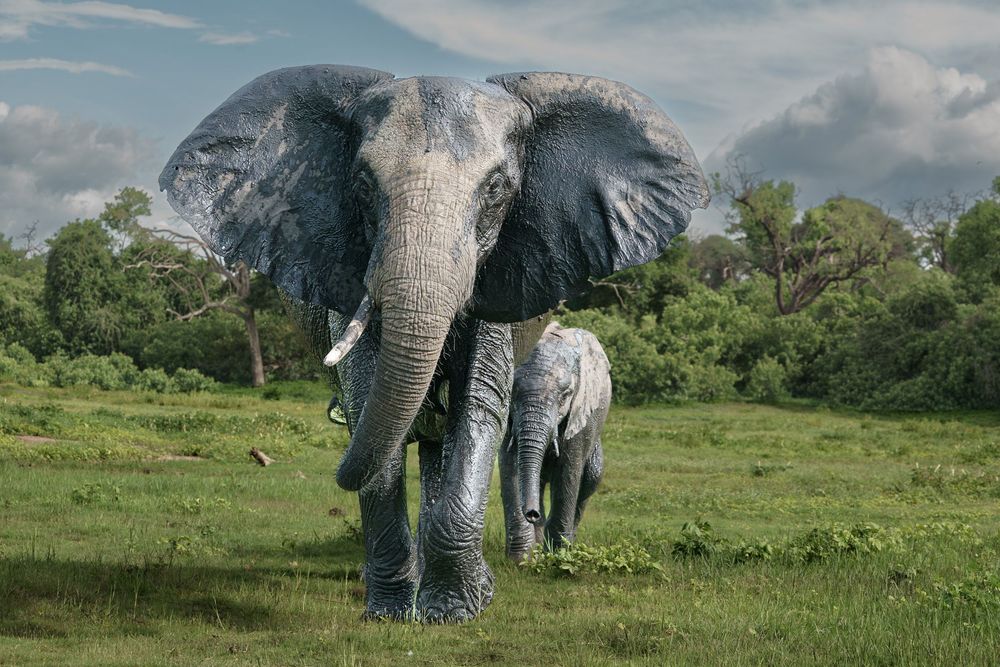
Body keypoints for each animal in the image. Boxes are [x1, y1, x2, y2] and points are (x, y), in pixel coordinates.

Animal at [500, 323, 611, 561]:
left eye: (565, 396)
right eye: (512, 392)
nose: (532, 514)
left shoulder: (580, 415)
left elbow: (568, 472)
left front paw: (559, 557)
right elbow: (510, 466)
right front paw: (521, 560)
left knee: (590, 480)